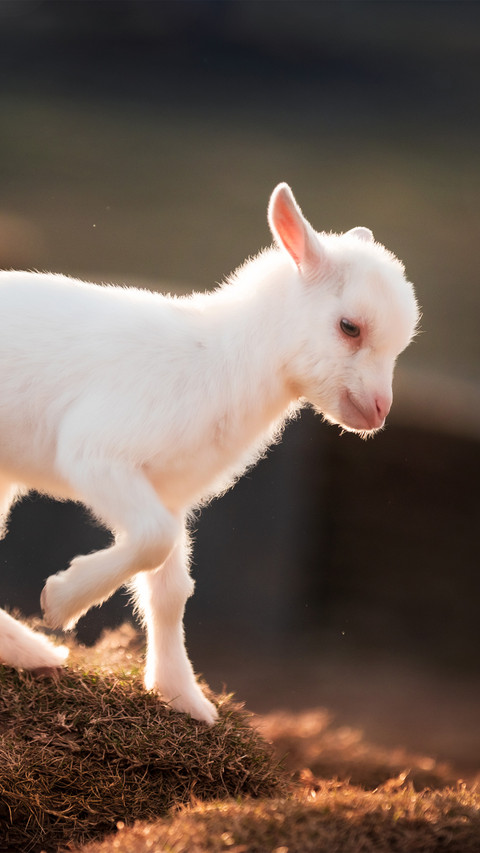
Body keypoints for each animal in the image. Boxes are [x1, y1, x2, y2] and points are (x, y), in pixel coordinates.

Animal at [0, 184, 419, 723]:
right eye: (350, 327)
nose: (378, 412)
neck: (218, 358)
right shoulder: (95, 452)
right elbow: (153, 539)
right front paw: (60, 601)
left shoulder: (169, 492)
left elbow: (171, 589)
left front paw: (182, 697)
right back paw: (34, 648)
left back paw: (28, 653)